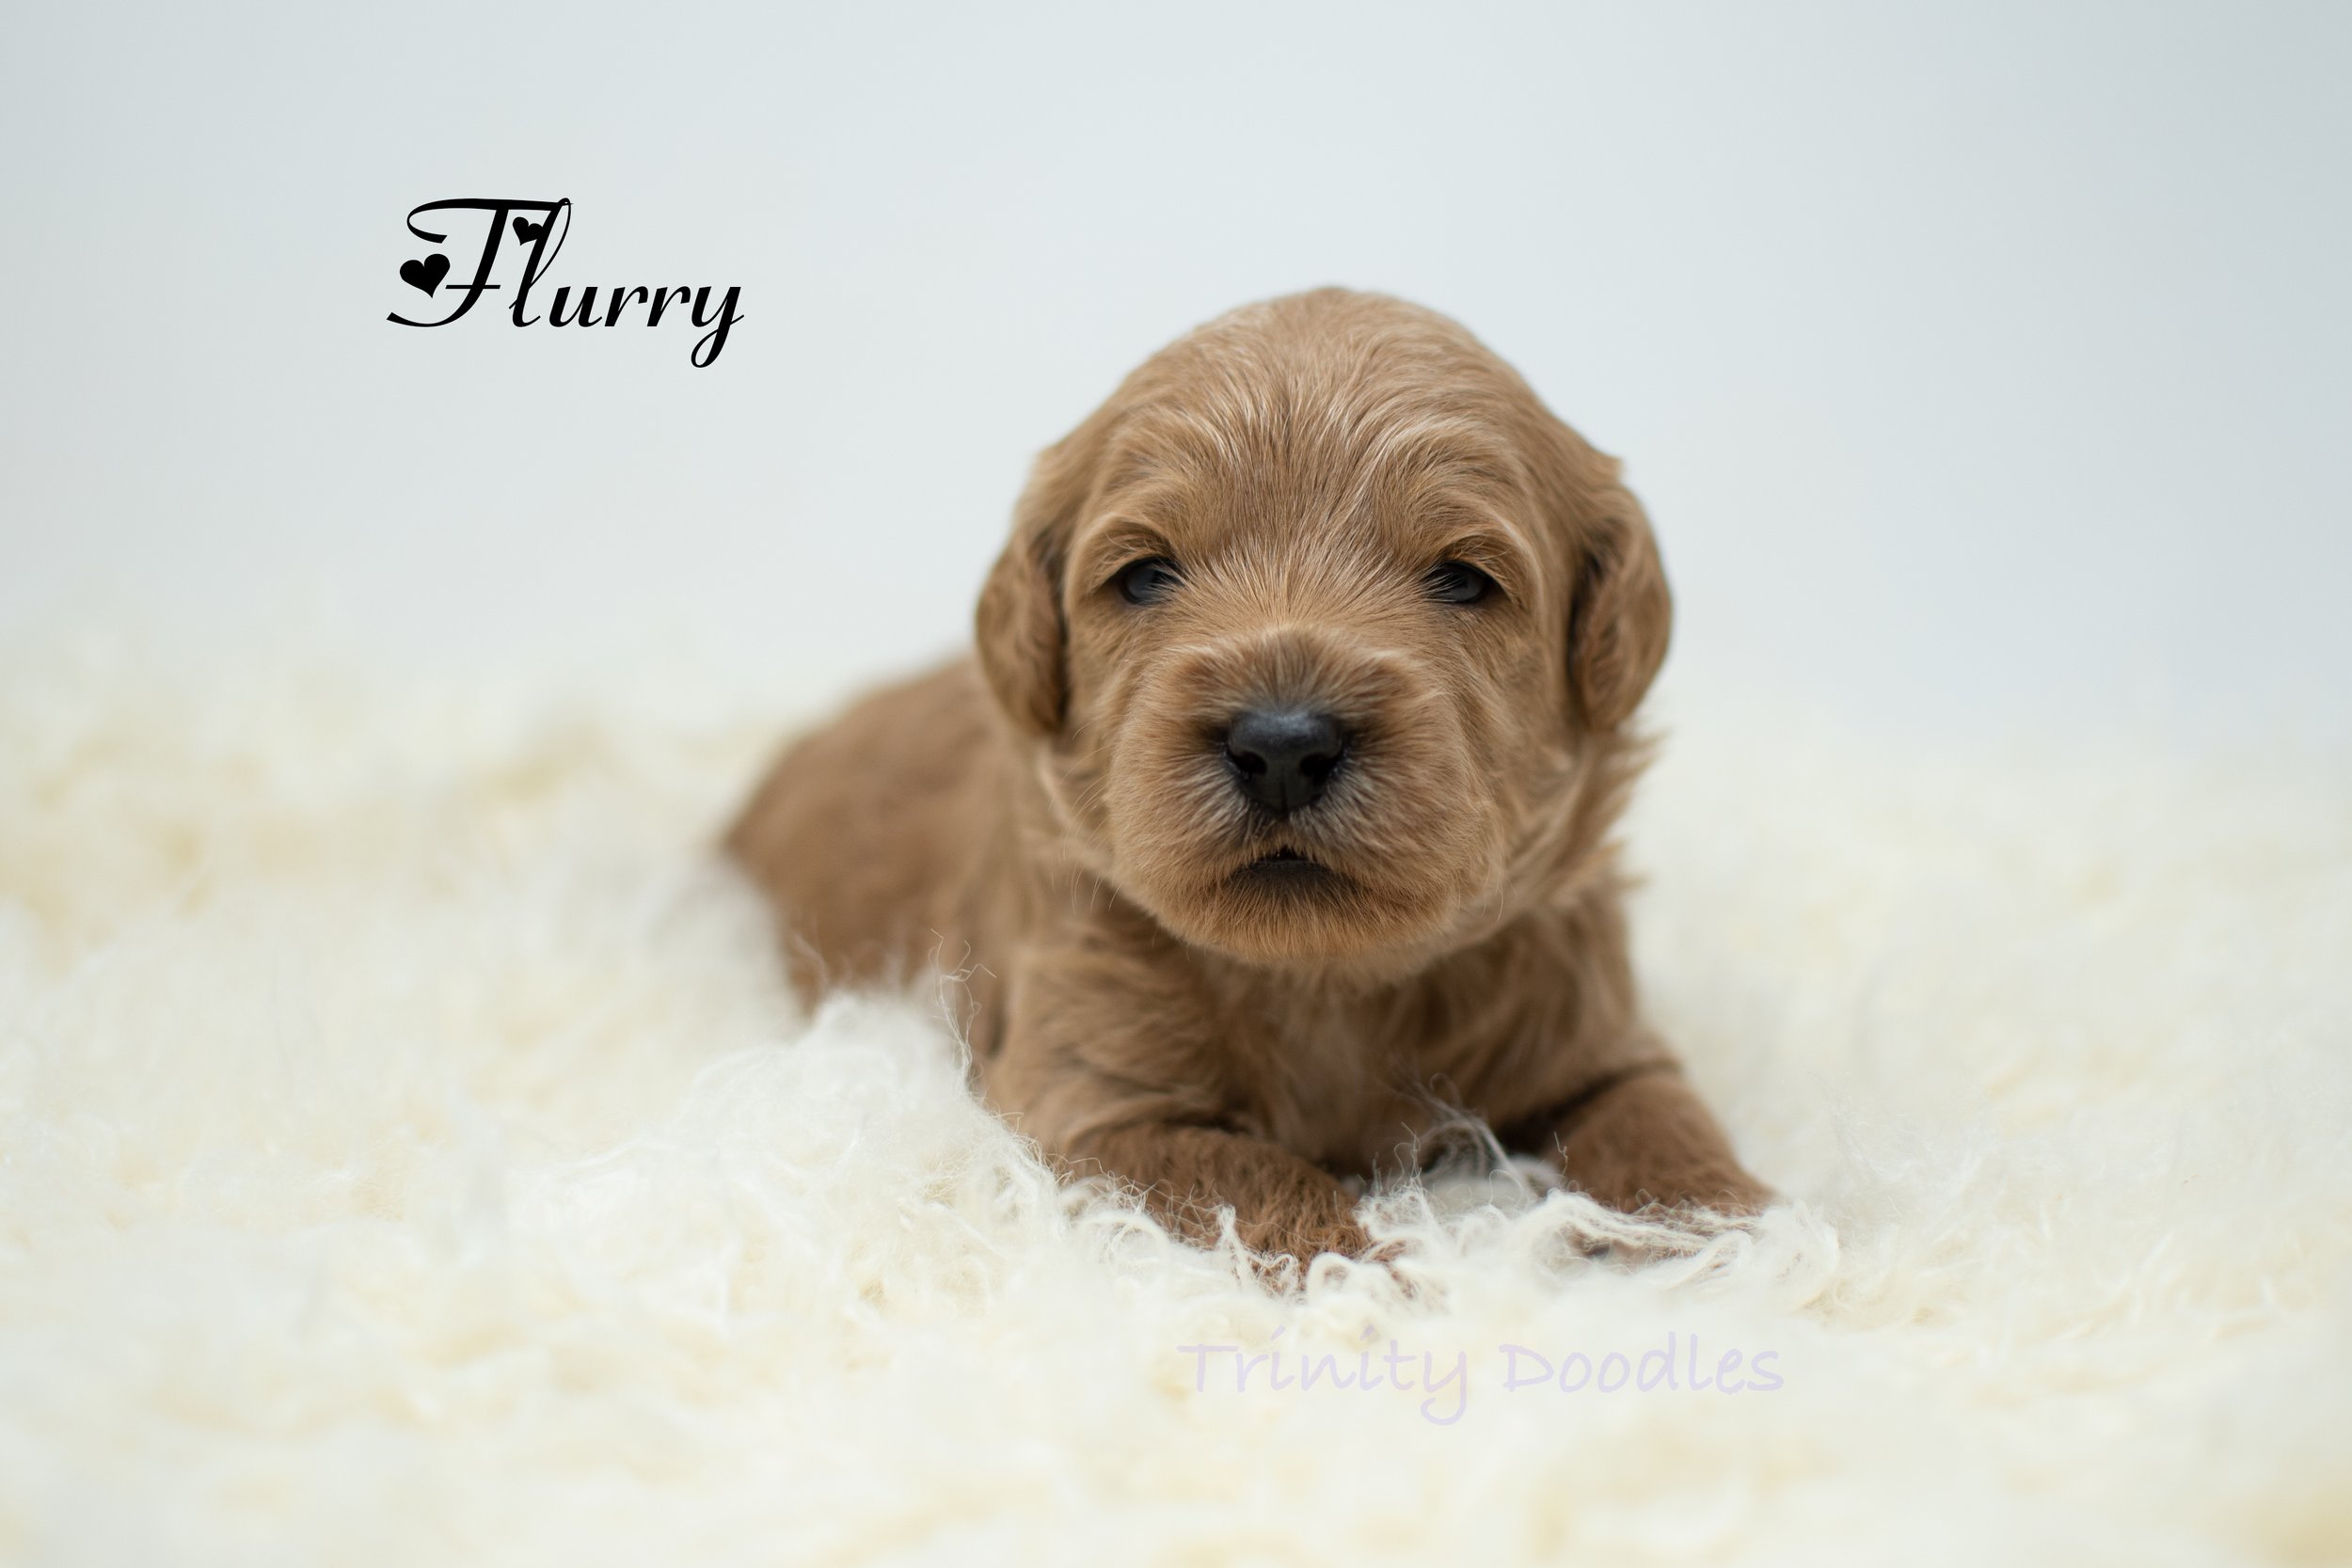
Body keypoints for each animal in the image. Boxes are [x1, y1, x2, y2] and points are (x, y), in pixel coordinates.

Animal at [725, 288, 1768, 1265]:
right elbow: (1252, 1168)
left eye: (1465, 579)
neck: (1324, 982)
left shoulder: (1598, 1034)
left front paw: (1740, 1237)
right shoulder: (1088, 1101)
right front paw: (1370, 1277)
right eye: (1145, 576)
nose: (1282, 747)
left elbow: (1659, 1119)